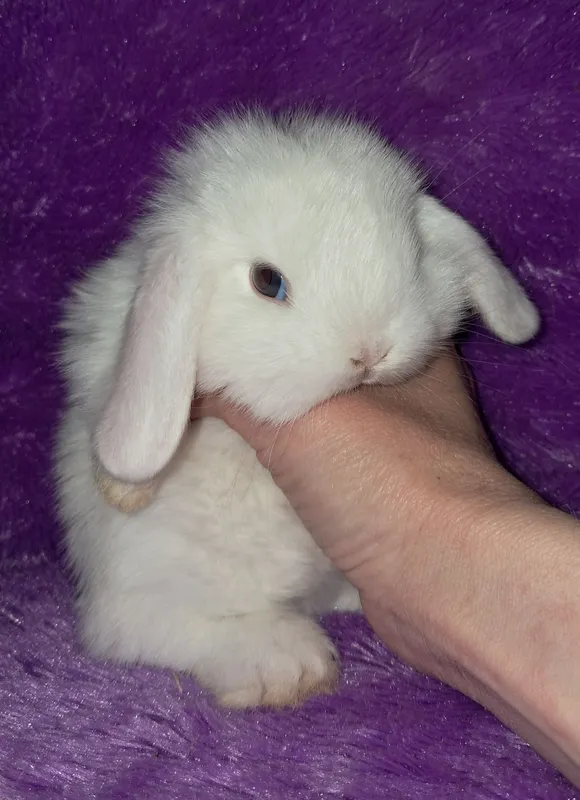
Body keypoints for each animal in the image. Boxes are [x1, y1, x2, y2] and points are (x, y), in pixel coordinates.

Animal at [54, 109, 539, 709]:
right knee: (140, 630)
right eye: (268, 281)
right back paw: (286, 665)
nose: (369, 352)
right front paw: (124, 488)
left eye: (416, 255)